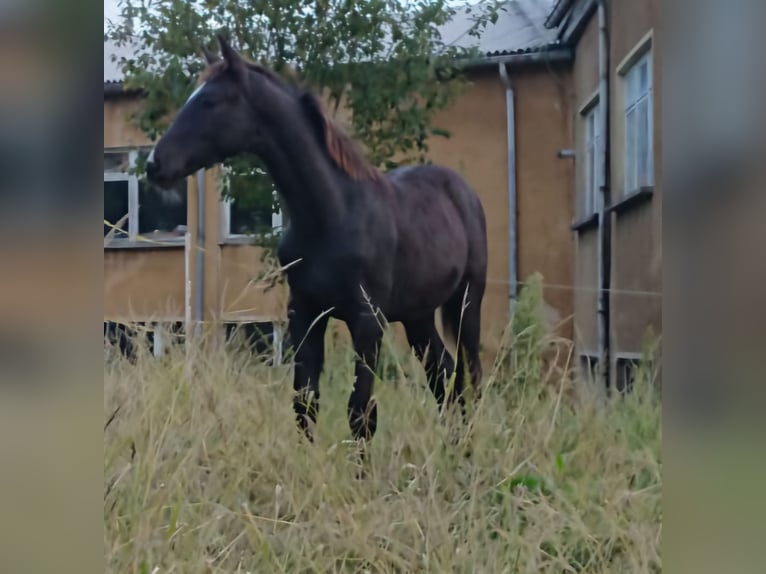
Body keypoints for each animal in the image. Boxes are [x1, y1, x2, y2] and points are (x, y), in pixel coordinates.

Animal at [147, 35, 488, 450]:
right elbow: (305, 403)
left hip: (466, 302)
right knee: (443, 374)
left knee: (470, 374)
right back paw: (455, 449)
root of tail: (462, 190)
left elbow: (361, 412)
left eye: (210, 101)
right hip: (417, 313)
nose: (154, 164)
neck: (331, 214)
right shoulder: (305, 314)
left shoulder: (366, 320)